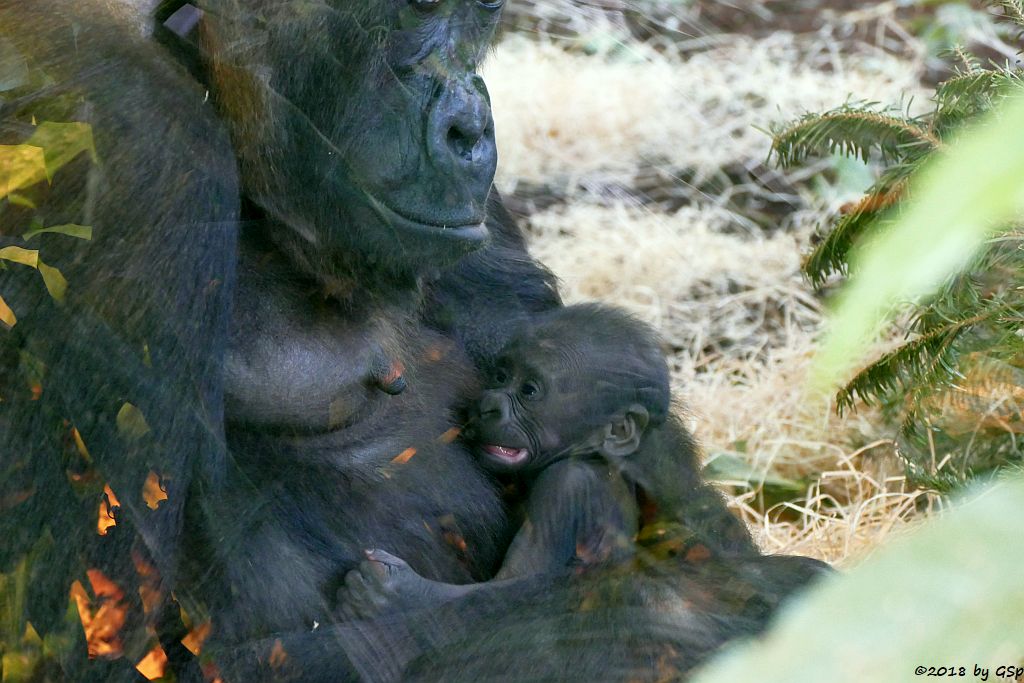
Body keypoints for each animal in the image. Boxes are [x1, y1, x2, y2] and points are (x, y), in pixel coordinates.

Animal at [339, 305, 708, 618]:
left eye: (529, 390)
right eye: (501, 376)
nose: (488, 405)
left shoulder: (566, 487)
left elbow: (516, 582)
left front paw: (403, 595)